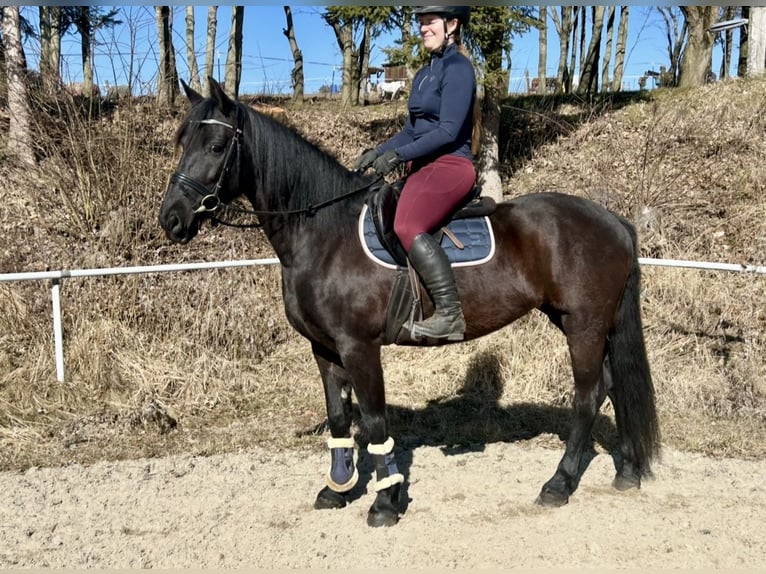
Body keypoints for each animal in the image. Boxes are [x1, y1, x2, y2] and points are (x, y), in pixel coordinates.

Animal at [160, 80, 660, 532]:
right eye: (183, 142)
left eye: (217, 145)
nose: (172, 219)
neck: (324, 233)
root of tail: (615, 221)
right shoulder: (324, 348)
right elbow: (340, 416)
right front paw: (337, 488)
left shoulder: (359, 347)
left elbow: (375, 422)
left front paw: (385, 502)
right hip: (583, 322)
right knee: (613, 385)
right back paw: (627, 470)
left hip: (584, 325)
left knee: (588, 395)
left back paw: (559, 483)